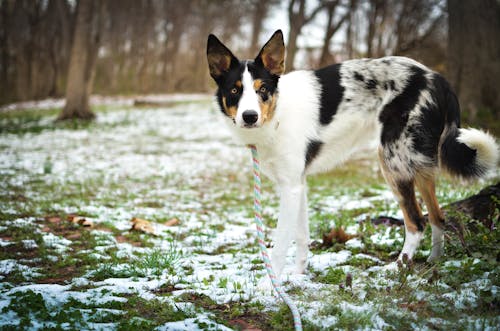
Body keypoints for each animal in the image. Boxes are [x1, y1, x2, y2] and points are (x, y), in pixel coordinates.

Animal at [205, 29, 498, 278]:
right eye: (235, 90)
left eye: (262, 89)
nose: (249, 116)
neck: (277, 112)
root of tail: (438, 79)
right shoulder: (297, 184)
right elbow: (301, 237)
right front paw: (298, 277)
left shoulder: (290, 188)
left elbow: (279, 246)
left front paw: (271, 289)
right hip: (419, 164)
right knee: (438, 217)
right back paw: (434, 262)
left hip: (393, 162)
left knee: (416, 223)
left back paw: (397, 267)